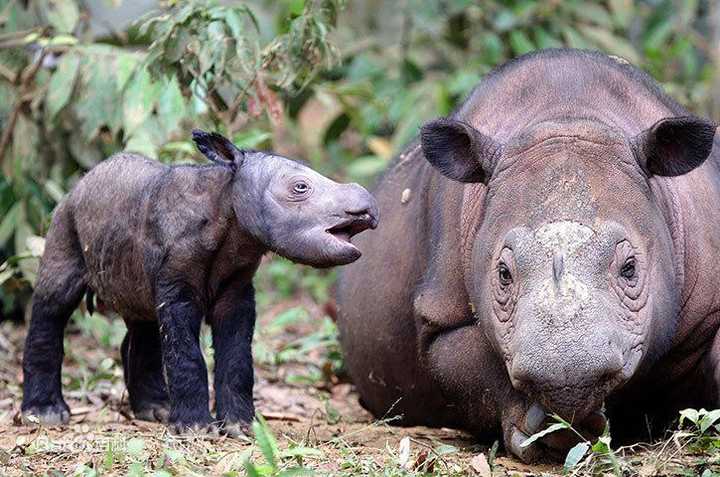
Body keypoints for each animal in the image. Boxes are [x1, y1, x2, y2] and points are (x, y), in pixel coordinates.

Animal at [19, 130, 380, 436]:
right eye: (300, 188)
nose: (368, 208)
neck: (228, 204)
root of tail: (79, 184)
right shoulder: (177, 285)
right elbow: (185, 352)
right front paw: (194, 429)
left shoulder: (237, 290)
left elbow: (237, 356)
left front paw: (240, 427)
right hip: (64, 219)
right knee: (55, 301)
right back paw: (45, 415)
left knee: (144, 318)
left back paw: (155, 411)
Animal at [338, 49, 720, 462]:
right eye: (503, 275)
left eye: (630, 269)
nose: (569, 382)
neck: (568, 115)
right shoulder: (440, 316)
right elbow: (466, 365)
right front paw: (552, 432)